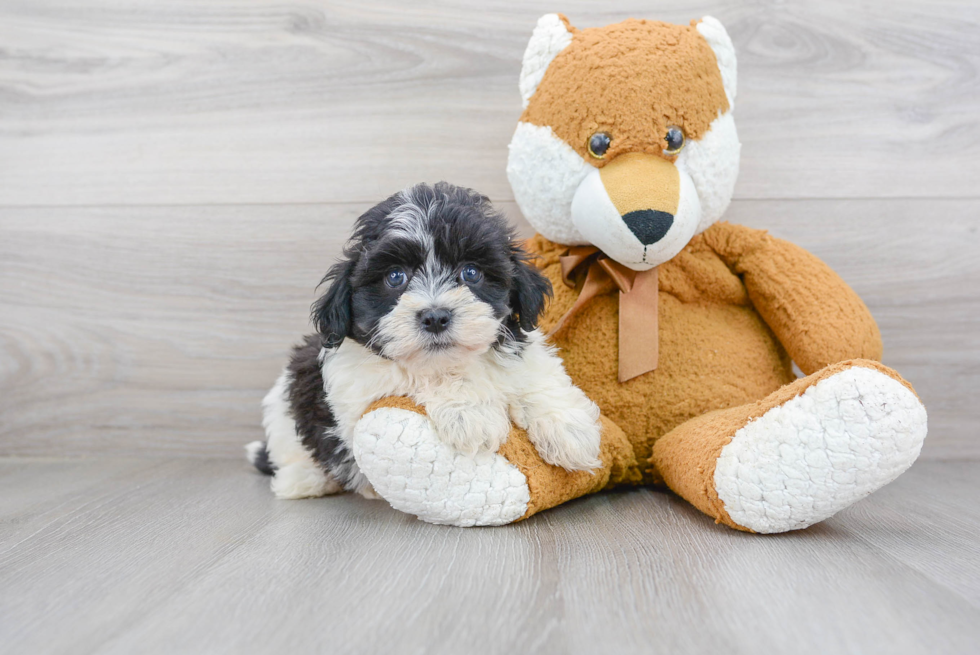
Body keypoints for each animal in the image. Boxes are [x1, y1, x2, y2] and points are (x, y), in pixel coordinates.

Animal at [249, 182, 600, 500]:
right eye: (395, 277)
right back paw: (304, 479)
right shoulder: (360, 383)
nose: (435, 317)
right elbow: (421, 376)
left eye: (471, 272)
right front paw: (470, 413)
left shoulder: (517, 344)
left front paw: (570, 430)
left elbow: (536, 374)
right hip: (287, 408)